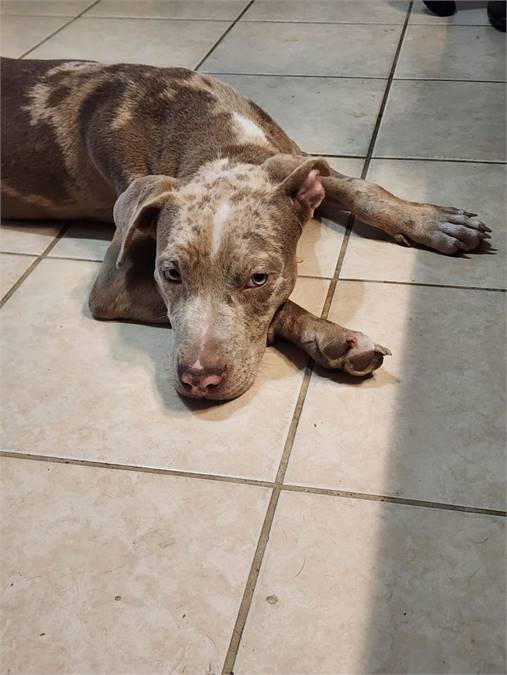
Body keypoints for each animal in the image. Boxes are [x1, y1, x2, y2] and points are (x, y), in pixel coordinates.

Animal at [0, 58, 492, 402]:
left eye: (259, 278)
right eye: (170, 274)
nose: (199, 380)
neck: (215, 137)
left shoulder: (295, 162)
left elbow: (360, 187)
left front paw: (432, 221)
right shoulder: (112, 286)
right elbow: (284, 310)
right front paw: (336, 339)